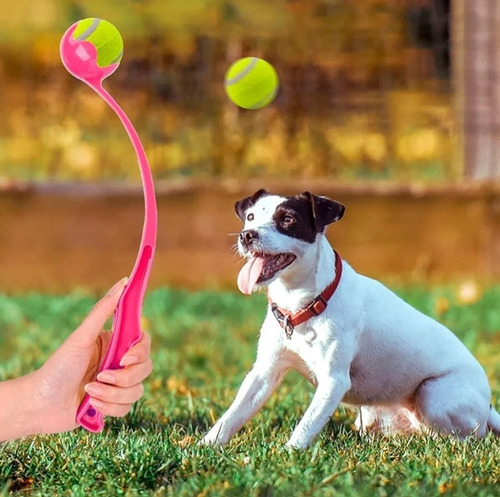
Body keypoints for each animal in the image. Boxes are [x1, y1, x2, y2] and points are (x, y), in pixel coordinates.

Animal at [200, 188, 500, 448]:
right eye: (250, 217)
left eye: (287, 219)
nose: (246, 235)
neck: (304, 304)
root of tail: (489, 407)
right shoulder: (264, 372)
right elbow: (232, 415)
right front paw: (205, 447)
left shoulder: (334, 381)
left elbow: (307, 423)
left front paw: (289, 452)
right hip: (372, 415)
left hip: (433, 395)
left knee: (469, 436)